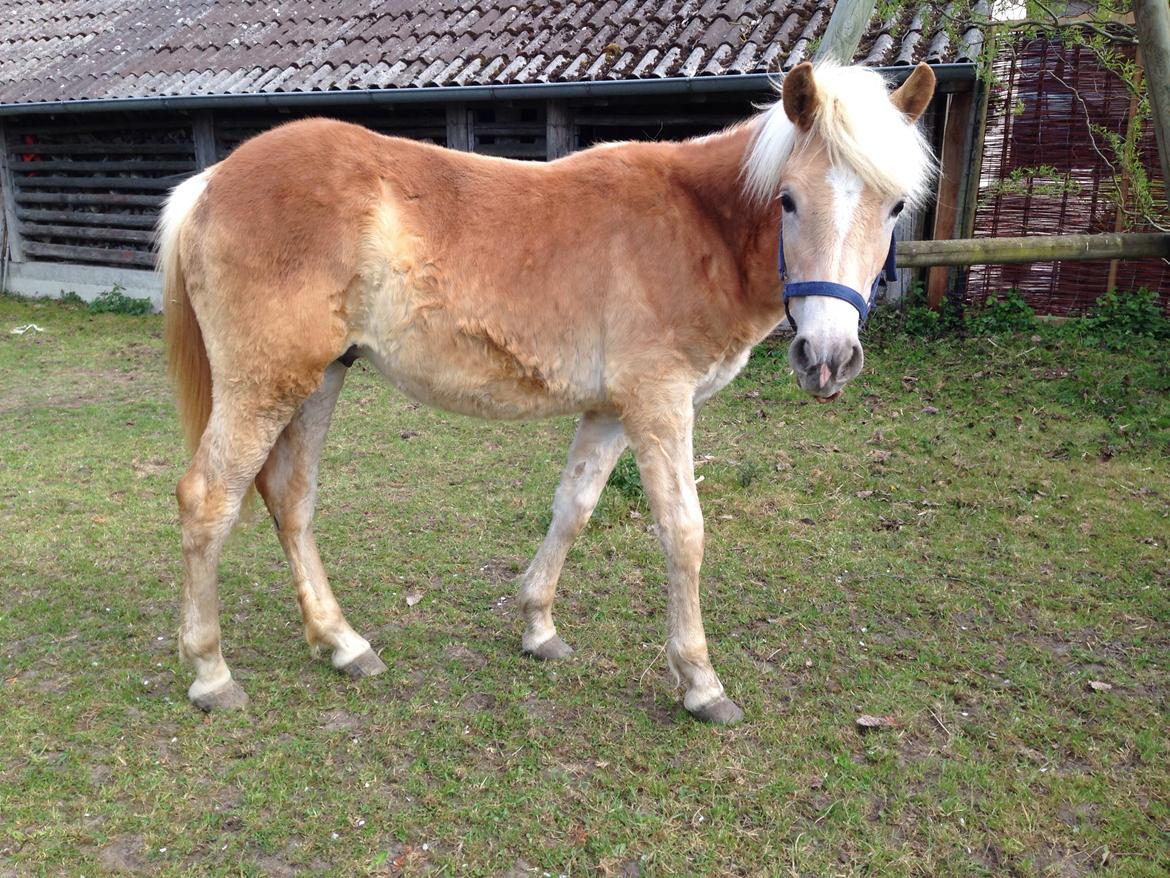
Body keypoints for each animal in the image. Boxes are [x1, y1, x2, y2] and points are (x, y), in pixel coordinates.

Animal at [160, 60, 935, 721]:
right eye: (790, 201)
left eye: (896, 206)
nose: (828, 359)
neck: (695, 224)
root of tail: (211, 182)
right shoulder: (659, 405)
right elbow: (683, 532)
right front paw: (700, 682)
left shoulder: (610, 411)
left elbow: (574, 508)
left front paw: (538, 628)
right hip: (264, 385)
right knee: (208, 501)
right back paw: (212, 674)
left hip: (319, 378)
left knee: (291, 499)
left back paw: (342, 643)